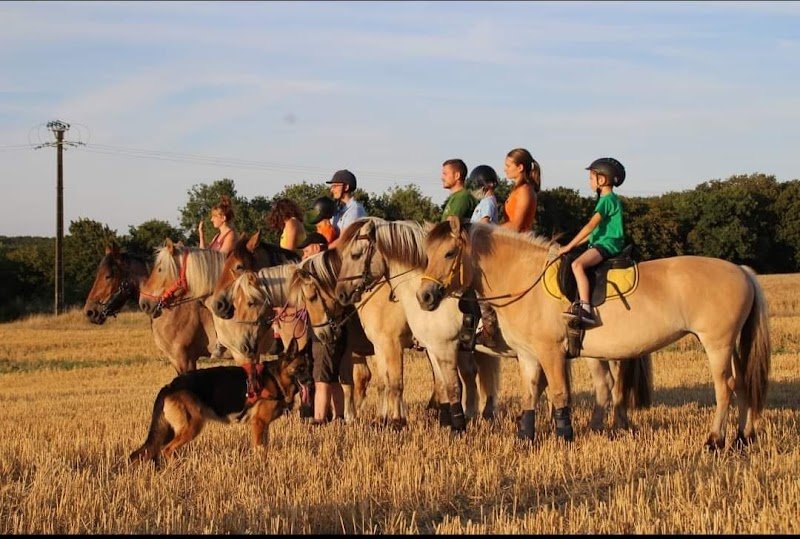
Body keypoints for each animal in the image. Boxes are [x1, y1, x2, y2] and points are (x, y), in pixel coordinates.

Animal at [417, 217, 771, 449]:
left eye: (449, 254)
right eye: (428, 254)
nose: (425, 297)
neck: (524, 279)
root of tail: (741, 271)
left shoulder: (551, 352)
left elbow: (559, 394)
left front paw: (564, 436)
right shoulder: (529, 355)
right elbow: (530, 395)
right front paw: (524, 437)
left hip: (717, 343)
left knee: (725, 387)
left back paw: (715, 439)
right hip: (730, 345)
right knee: (742, 384)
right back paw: (743, 437)